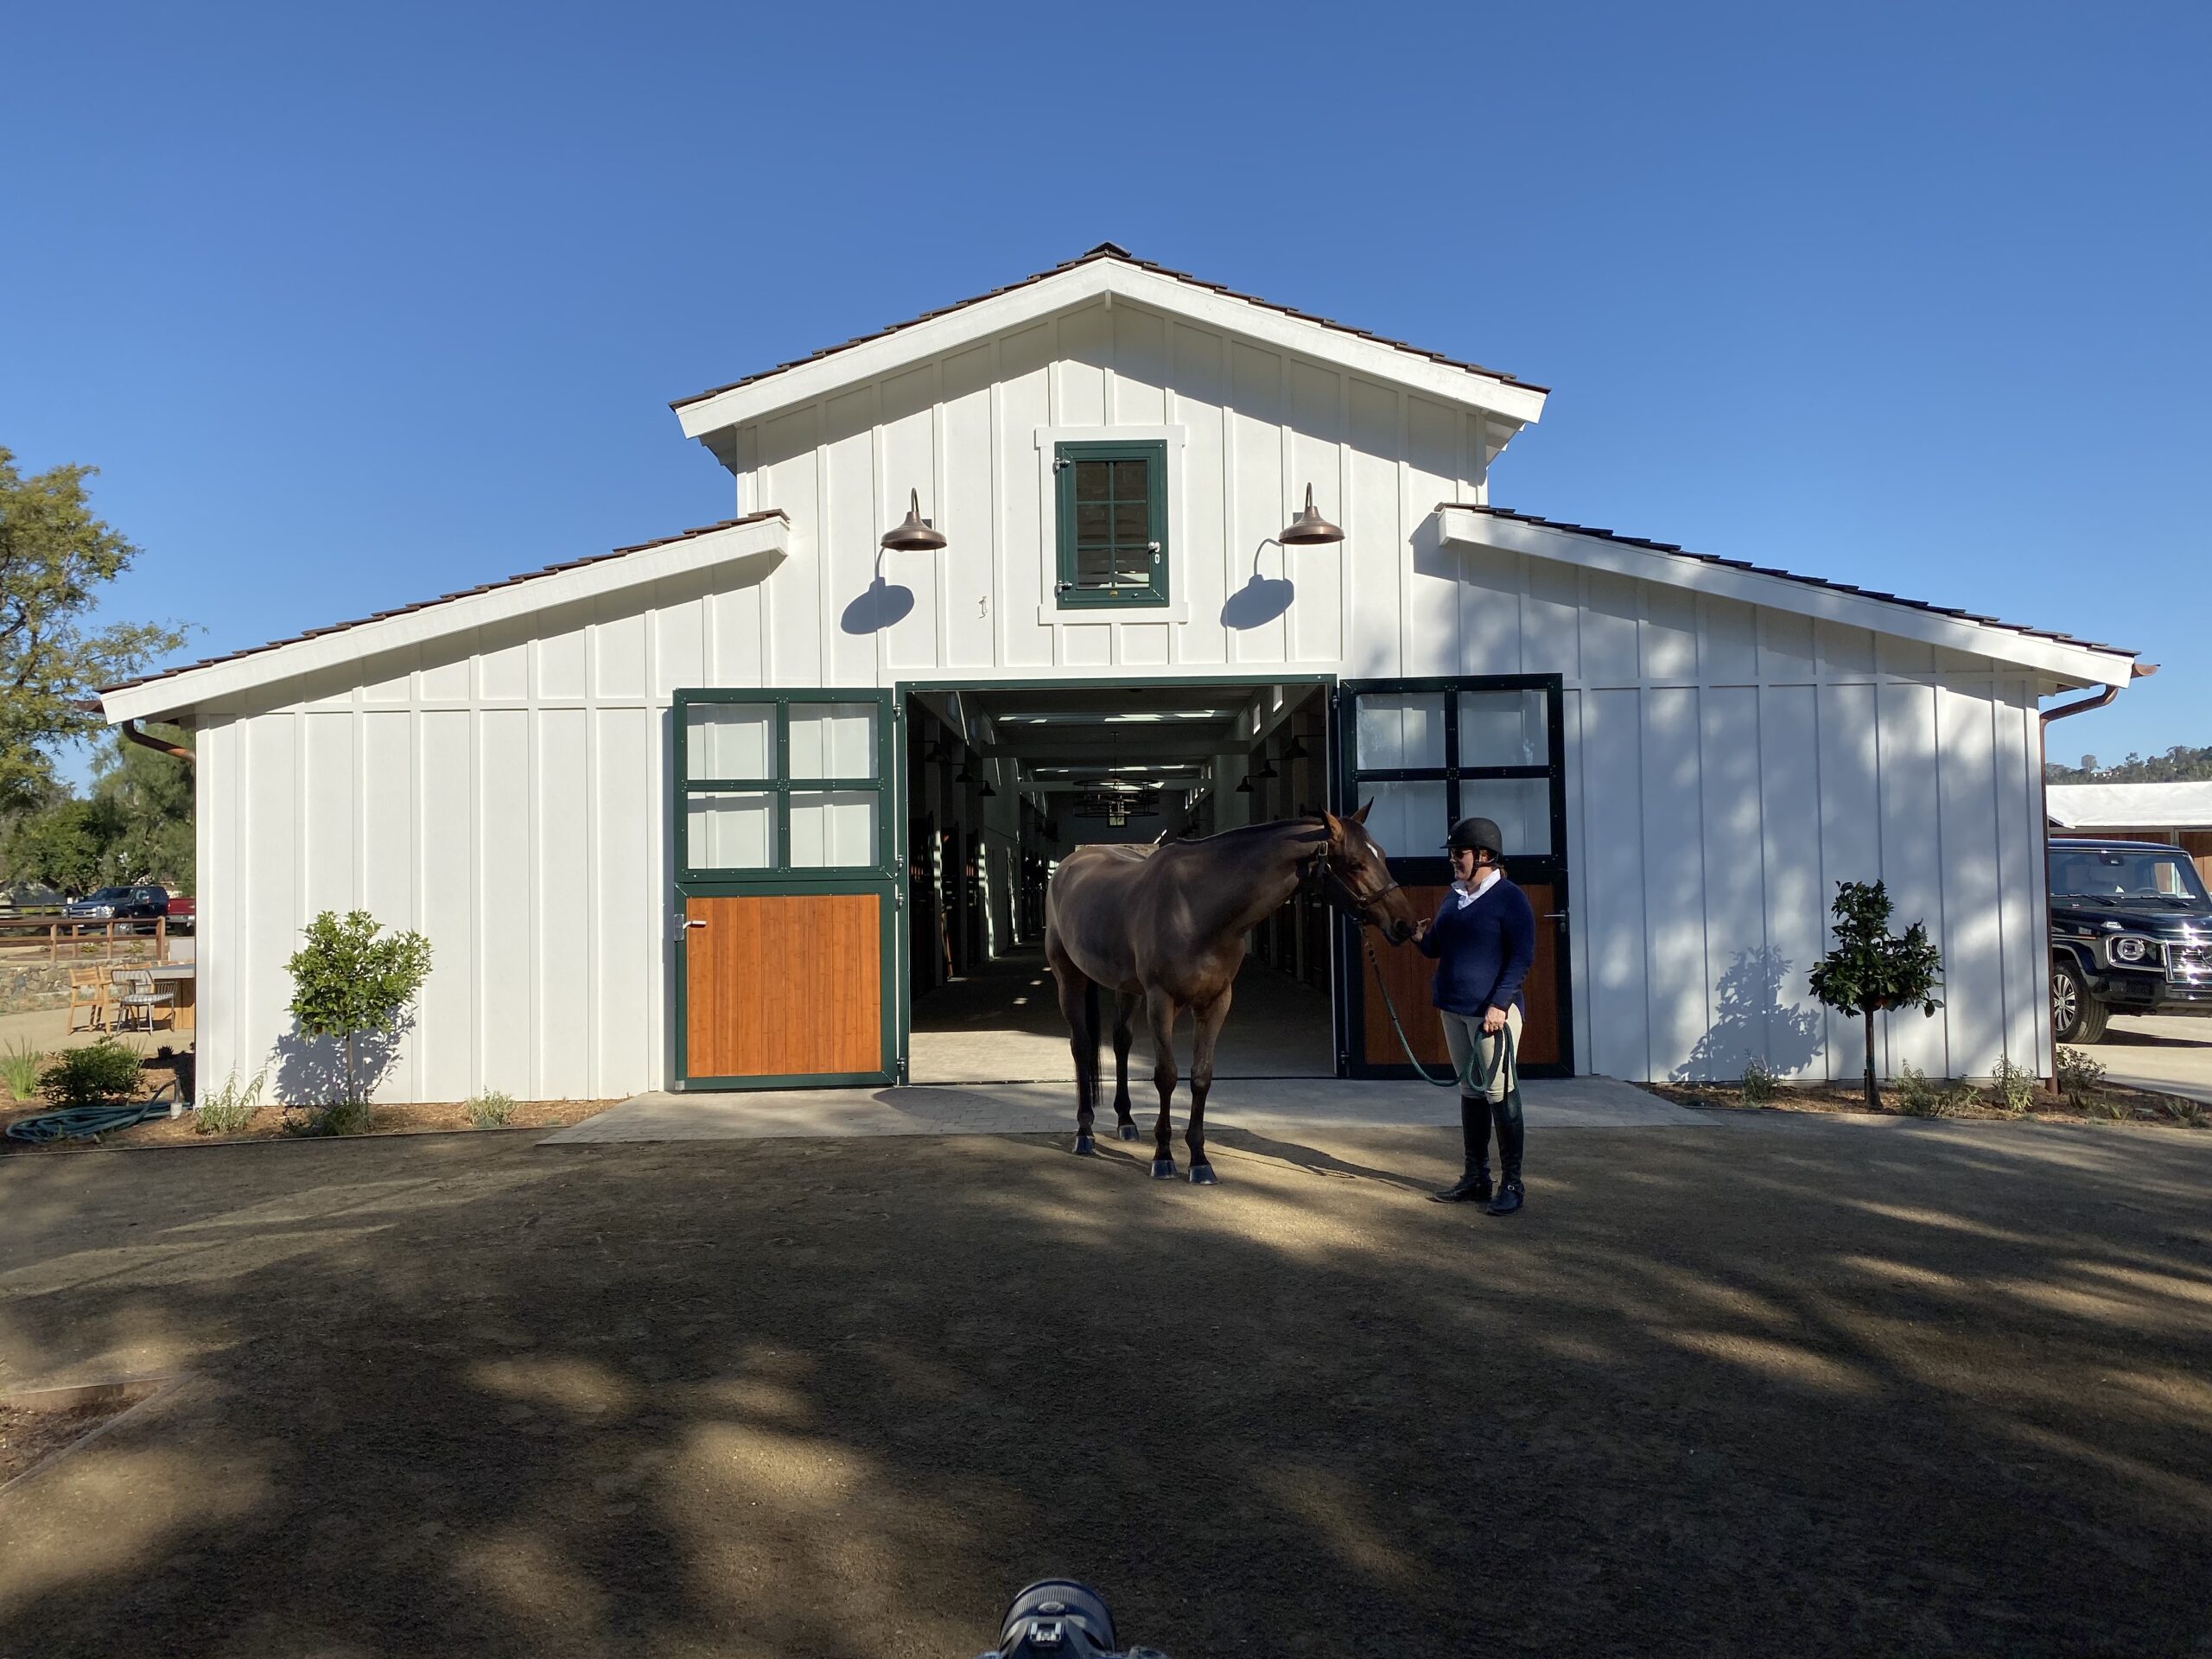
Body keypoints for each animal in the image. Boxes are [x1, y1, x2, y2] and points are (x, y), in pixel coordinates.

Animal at [1044, 804, 1424, 1185]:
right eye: (1356, 863)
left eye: (1383, 855)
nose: (1407, 925)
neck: (1194, 906)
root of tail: (1070, 864)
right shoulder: (1161, 1001)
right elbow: (1166, 1075)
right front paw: (1164, 1157)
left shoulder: (1216, 1002)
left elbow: (1201, 1077)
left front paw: (1199, 1161)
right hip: (1069, 979)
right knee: (1081, 1046)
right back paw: (1084, 1133)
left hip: (1127, 989)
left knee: (1121, 1042)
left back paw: (1126, 1122)